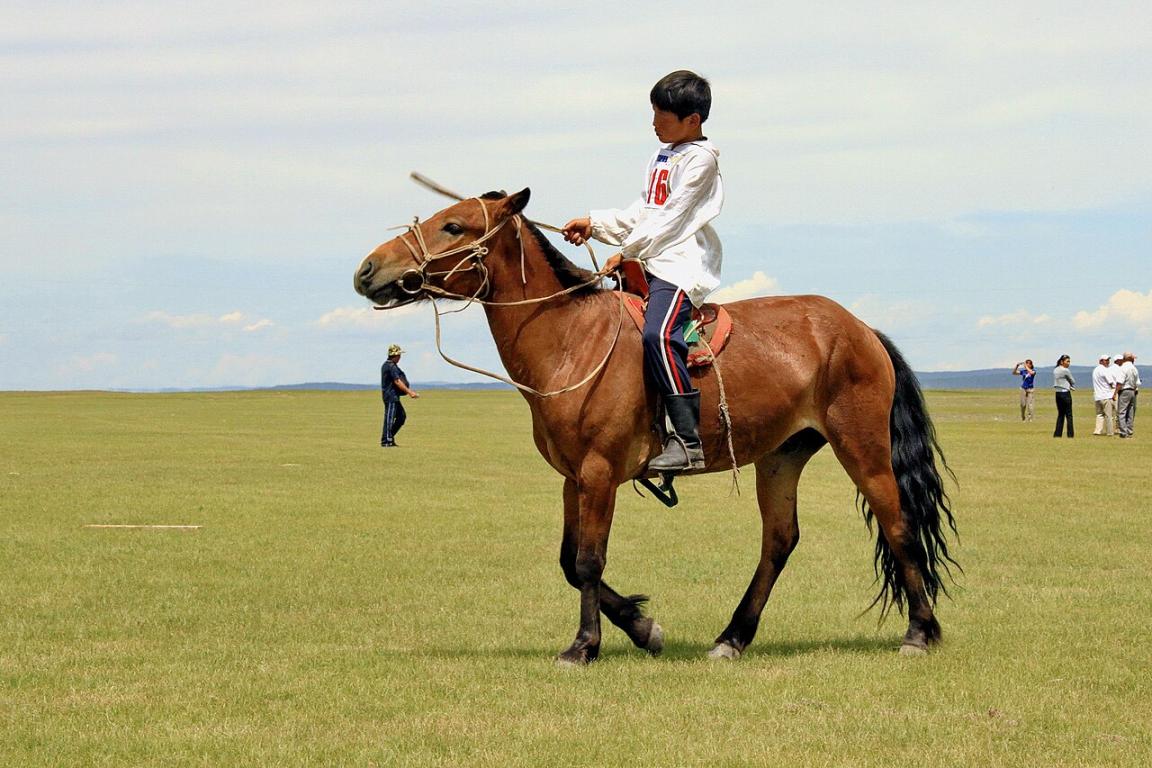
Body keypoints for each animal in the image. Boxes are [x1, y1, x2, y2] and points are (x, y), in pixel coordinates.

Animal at [354, 188, 958, 665]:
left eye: (453, 225)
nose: (367, 271)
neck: (571, 339)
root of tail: (862, 329)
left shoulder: (600, 473)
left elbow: (588, 561)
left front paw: (585, 645)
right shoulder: (574, 478)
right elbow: (570, 562)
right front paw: (642, 628)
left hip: (862, 446)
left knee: (899, 525)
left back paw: (919, 633)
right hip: (781, 455)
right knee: (780, 540)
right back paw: (732, 638)